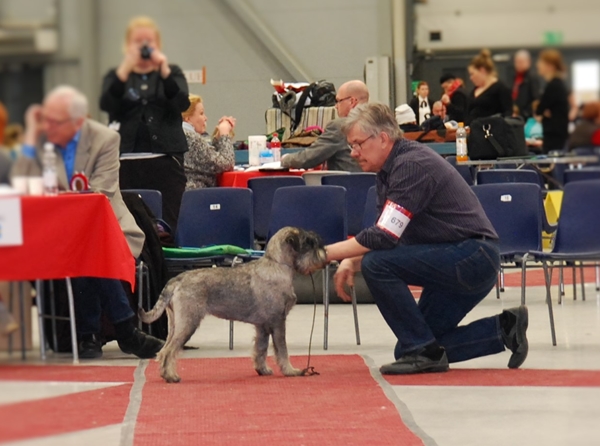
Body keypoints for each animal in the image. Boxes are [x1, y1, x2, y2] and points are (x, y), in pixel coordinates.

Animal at [139, 227, 327, 383]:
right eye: (308, 242)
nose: (324, 254)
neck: (277, 265)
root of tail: (176, 279)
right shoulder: (278, 322)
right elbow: (282, 350)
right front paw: (291, 371)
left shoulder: (263, 327)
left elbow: (260, 349)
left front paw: (262, 369)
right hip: (188, 323)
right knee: (169, 351)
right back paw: (171, 376)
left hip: (174, 325)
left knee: (163, 350)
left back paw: (166, 374)